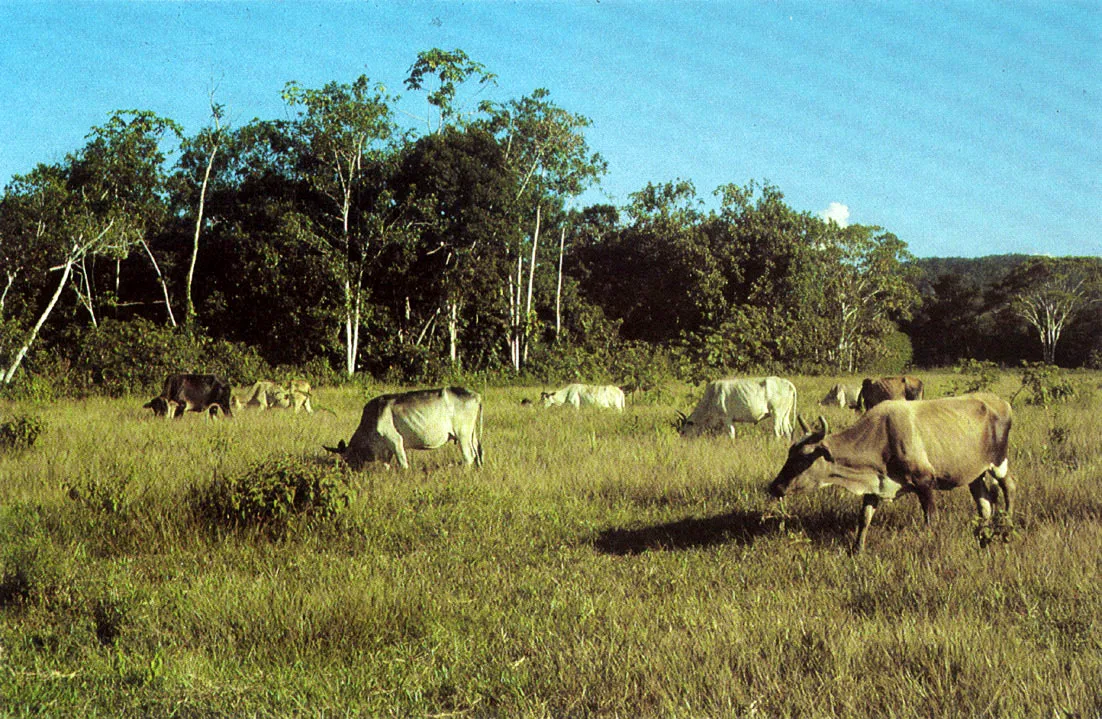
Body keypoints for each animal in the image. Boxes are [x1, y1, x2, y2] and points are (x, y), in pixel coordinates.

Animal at [321, 388, 487, 471]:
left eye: (347, 458)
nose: (350, 472)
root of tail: (476, 395)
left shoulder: (395, 441)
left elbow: (403, 464)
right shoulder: (386, 451)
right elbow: (386, 465)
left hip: (462, 435)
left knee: (469, 457)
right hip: (471, 435)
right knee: (478, 453)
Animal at [766, 392, 1013, 551]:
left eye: (801, 459)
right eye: (789, 454)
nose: (775, 486)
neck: (881, 436)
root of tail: (1001, 402)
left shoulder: (925, 482)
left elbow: (930, 519)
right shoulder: (875, 486)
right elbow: (864, 518)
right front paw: (857, 550)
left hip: (998, 462)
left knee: (1009, 486)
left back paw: (1005, 528)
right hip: (975, 473)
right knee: (984, 503)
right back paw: (983, 535)